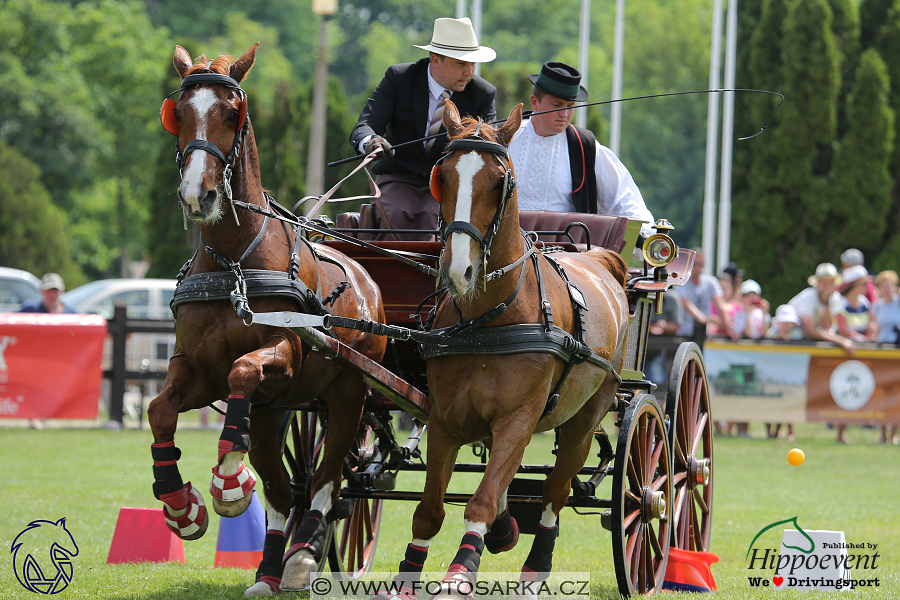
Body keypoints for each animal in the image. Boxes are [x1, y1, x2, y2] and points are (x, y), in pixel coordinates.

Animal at [149, 44, 386, 596]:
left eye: (231, 113)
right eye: (179, 114)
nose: (198, 195)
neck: (235, 263)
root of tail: (367, 277)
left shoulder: (281, 356)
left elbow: (243, 370)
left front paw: (229, 481)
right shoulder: (196, 369)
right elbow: (159, 410)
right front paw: (181, 506)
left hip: (348, 391)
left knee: (328, 478)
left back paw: (303, 555)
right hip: (275, 409)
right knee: (284, 488)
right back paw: (269, 570)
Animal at [384, 101, 628, 596]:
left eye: (500, 181)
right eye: (443, 176)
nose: (458, 270)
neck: (489, 320)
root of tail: (597, 257)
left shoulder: (518, 418)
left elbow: (481, 500)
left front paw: (462, 569)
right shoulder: (444, 419)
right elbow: (431, 509)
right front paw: (409, 573)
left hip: (586, 416)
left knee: (556, 491)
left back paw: (537, 565)